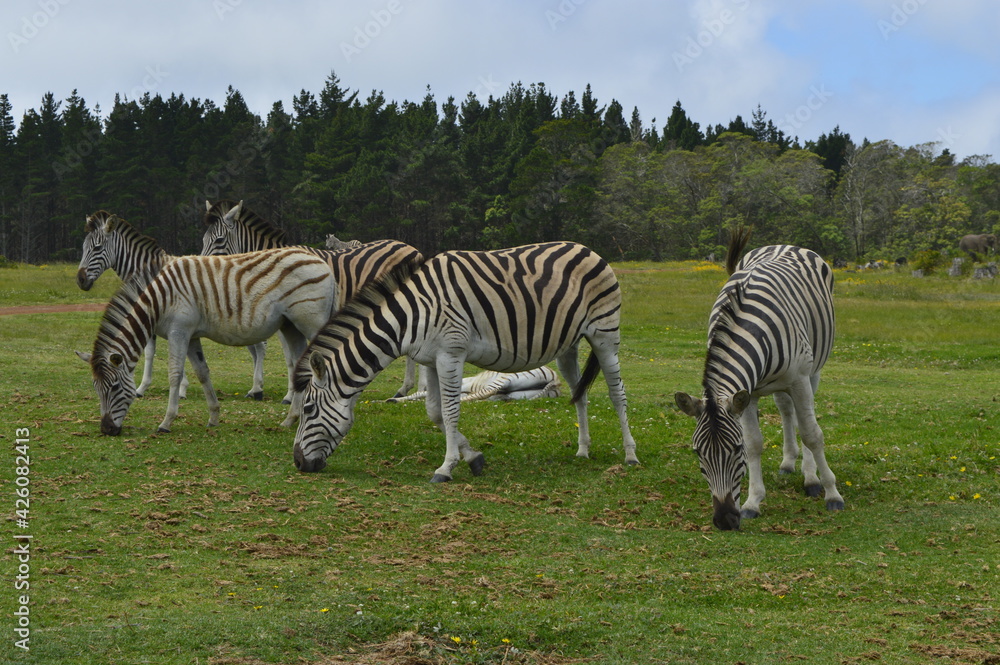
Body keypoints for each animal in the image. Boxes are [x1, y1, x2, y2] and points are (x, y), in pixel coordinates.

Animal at [76, 211, 266, 400]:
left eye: (97, 248)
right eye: (83, 248)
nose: (80, 280)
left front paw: (176, 388)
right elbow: (152, 352)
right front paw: (149, 388)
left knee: (260, 346)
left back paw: (257, 389)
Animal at [81, 248, 338, 435]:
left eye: (114, 387)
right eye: (95, 388)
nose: (106, 430)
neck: (158, 300)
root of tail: (321, 261)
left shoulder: (179, 331)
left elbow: (175, 374)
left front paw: (166, 422)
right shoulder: (192, 335)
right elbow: (202, 372)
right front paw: (214, 416)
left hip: (310, 322)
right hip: (290, 325)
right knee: (300, 366)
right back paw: (290, 419)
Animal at [200, 199, 423, 398]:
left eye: (219, 241)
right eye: (203, 240)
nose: (204, 265)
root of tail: (410, 248)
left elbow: (290, 357)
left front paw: (288, 394)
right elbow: (288, 358)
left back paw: (415, 390)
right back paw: (406, 389)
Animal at [291, 241, 640, 480]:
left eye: (307, 409)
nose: (298, 463)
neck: (409, 317)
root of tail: (586, 248)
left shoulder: (451, 354)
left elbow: (450, 411)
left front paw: (445, 468)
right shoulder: (430, 360)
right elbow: (434, 412)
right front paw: (473, 458)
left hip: (605, 334)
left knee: (616, 393)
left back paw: (630, 455)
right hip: (567, 345)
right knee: (580, 393)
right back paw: (582, 450)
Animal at [674, 227, 843, 530]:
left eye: (734, 449)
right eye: (697, 453)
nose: (725, 520)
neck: (745, 325)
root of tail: (783, 244)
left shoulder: (798, 379)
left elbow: (812, 434)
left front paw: (831, 493)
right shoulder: (746, 392)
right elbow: (755, 442)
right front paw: (752, 502)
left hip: (813, 370)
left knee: (804, 419)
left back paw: (810, 477)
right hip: (777, 382)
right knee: (786, 410)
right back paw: (788, 463)